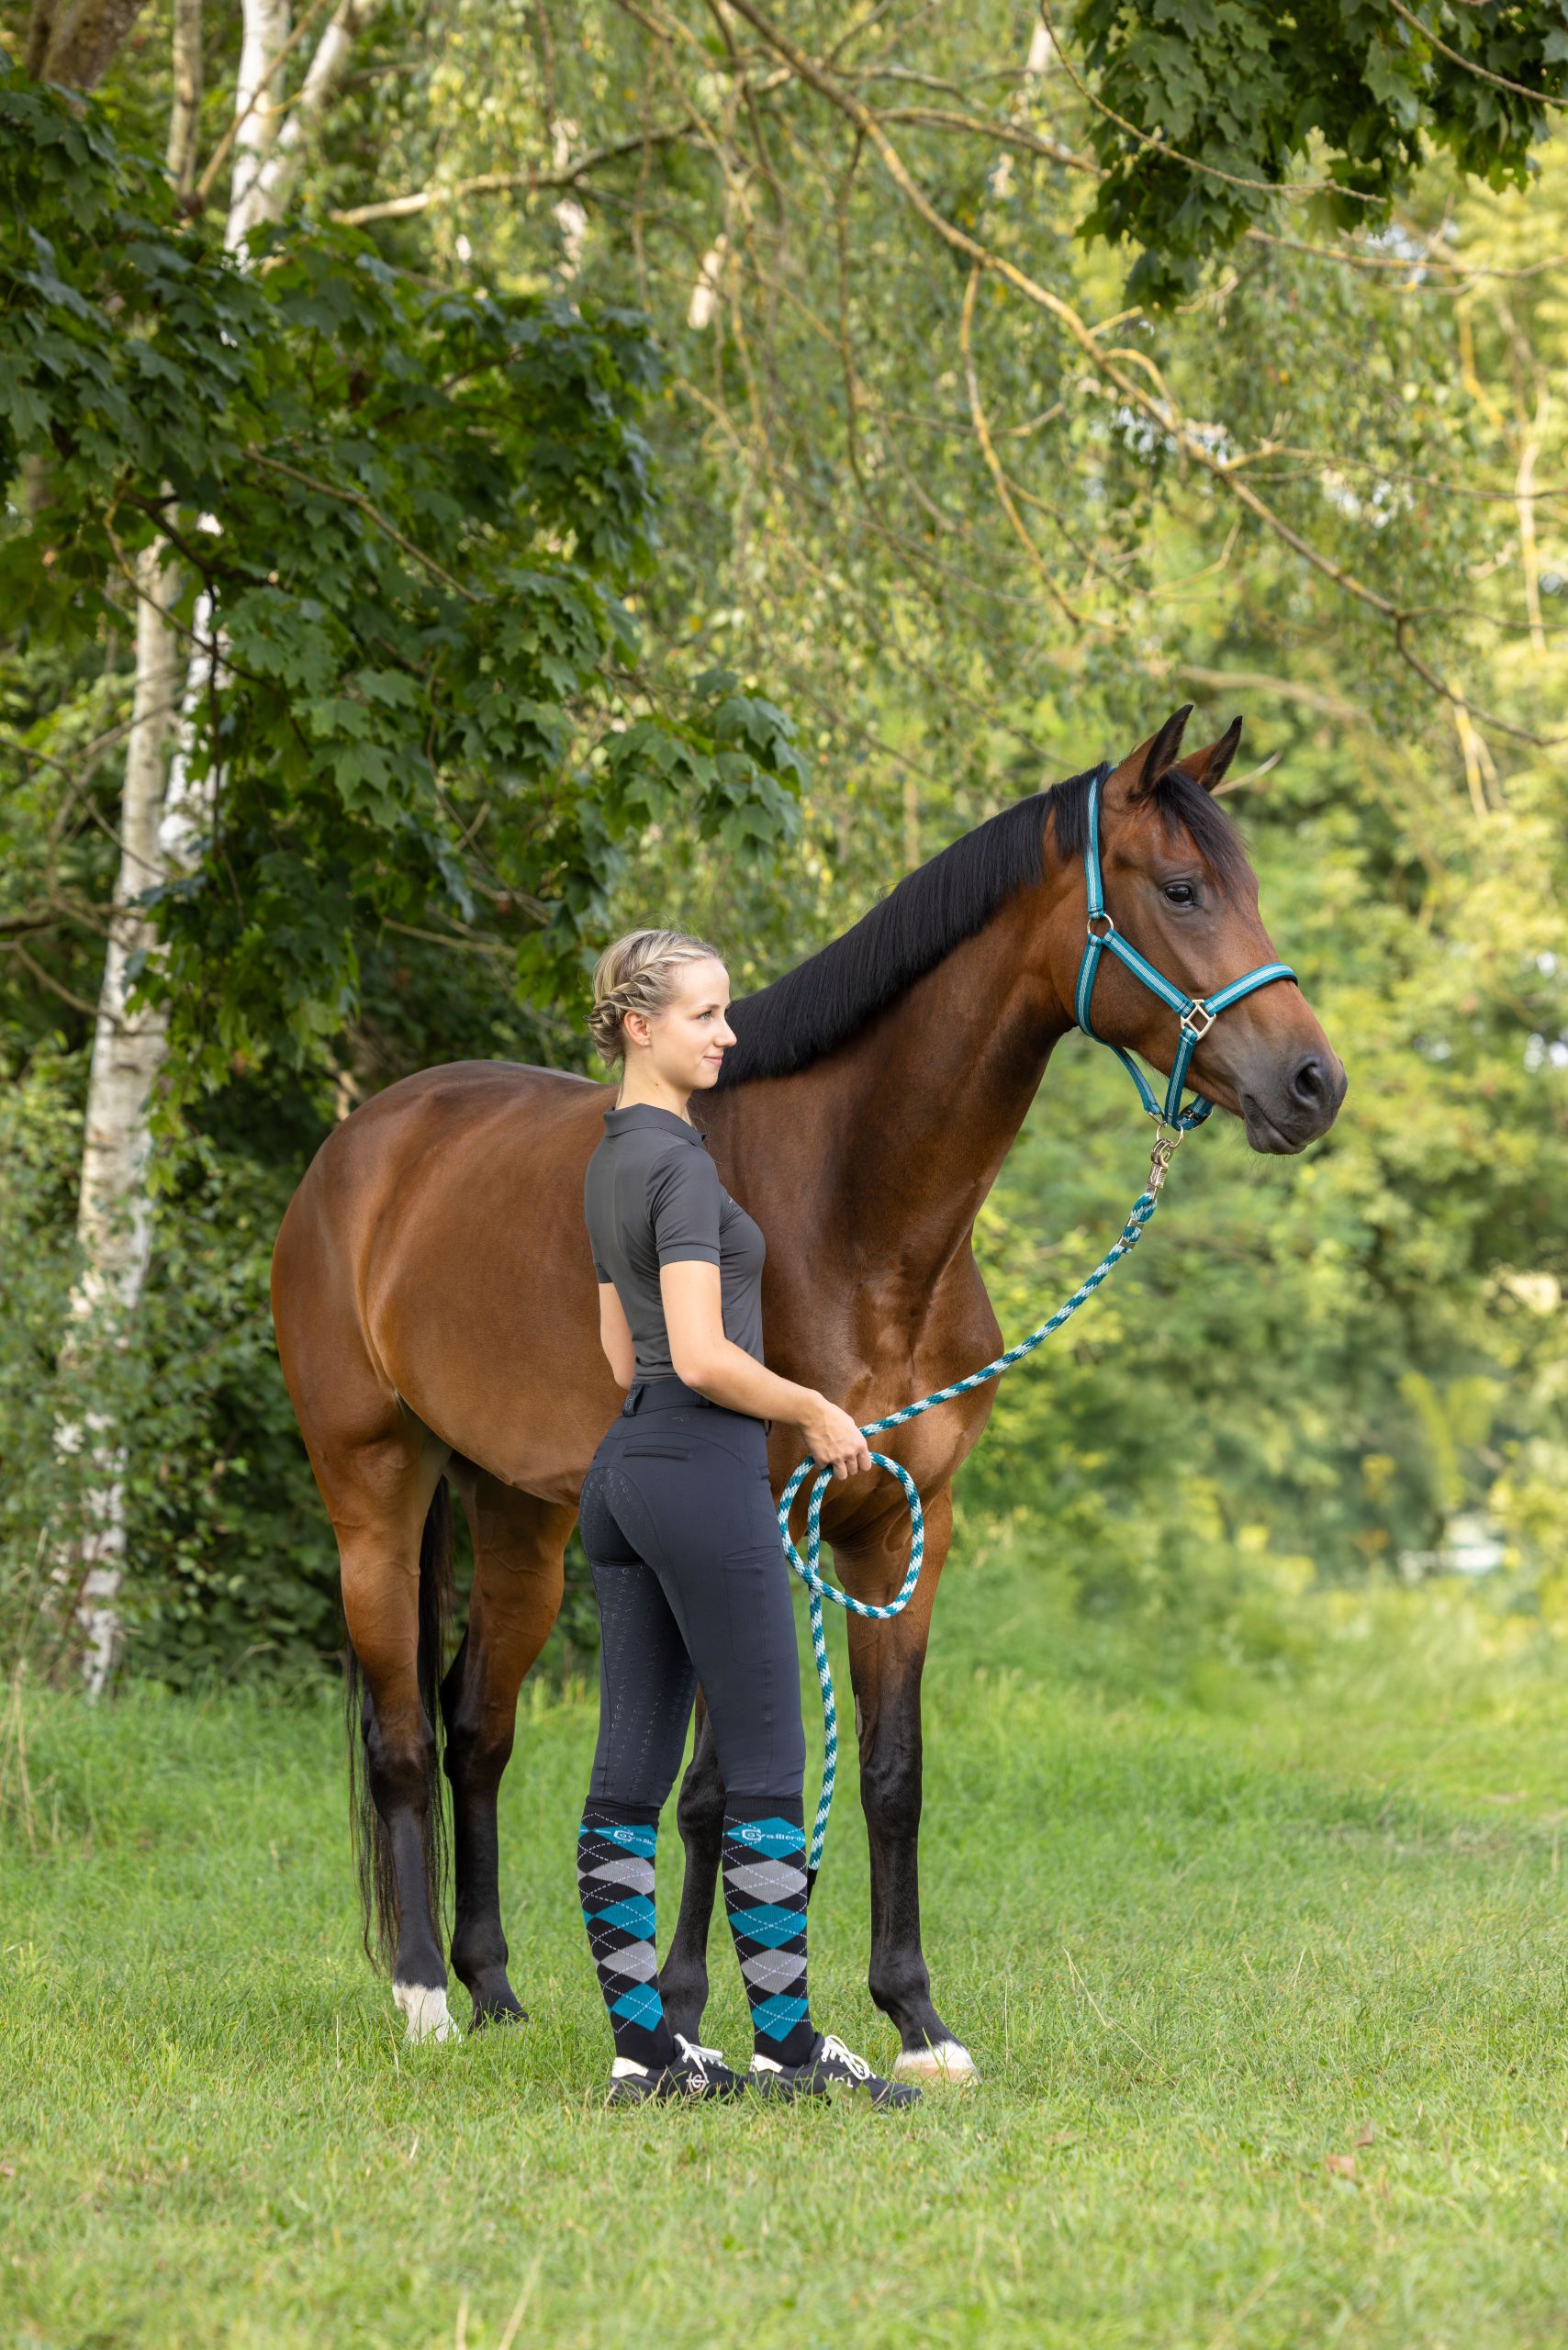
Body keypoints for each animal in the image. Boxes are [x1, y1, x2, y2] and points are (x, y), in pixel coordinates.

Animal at [270, 706, 1346, 2073]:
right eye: (1182, 888)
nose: (1314, 1083)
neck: (854, 1215)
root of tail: (367, 1144)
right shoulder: (745, 1525)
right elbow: (715, 1791)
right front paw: (685, 2020)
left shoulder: (900, 1528)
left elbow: (889, 1771)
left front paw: (914, 2018)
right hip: (373, 1487)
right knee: (404, 1738)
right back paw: (421, 2000)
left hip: (522, 1515)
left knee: (478, 1730)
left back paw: (497, 1990)